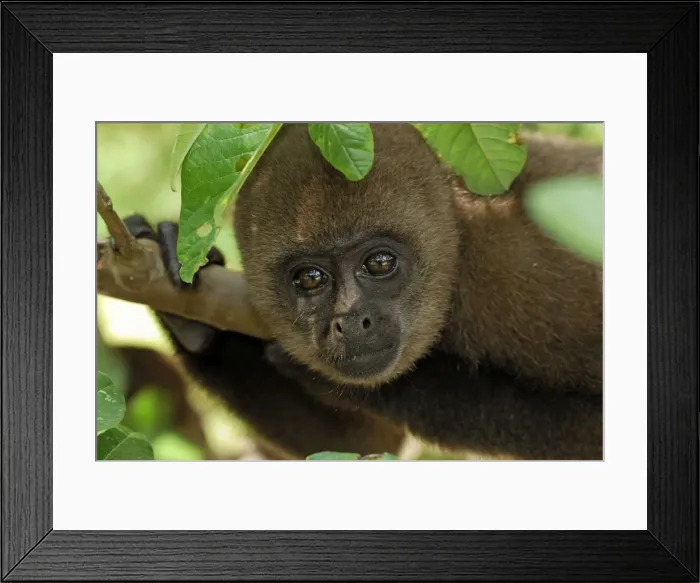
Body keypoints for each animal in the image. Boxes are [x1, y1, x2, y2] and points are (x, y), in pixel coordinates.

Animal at [120, 122, 603, 461]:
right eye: (310, 279)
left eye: (380, 263)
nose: (352, 321)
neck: (458, 247)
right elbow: (371, 443)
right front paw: (190, 321)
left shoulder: (531, 275)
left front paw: (351, 388)